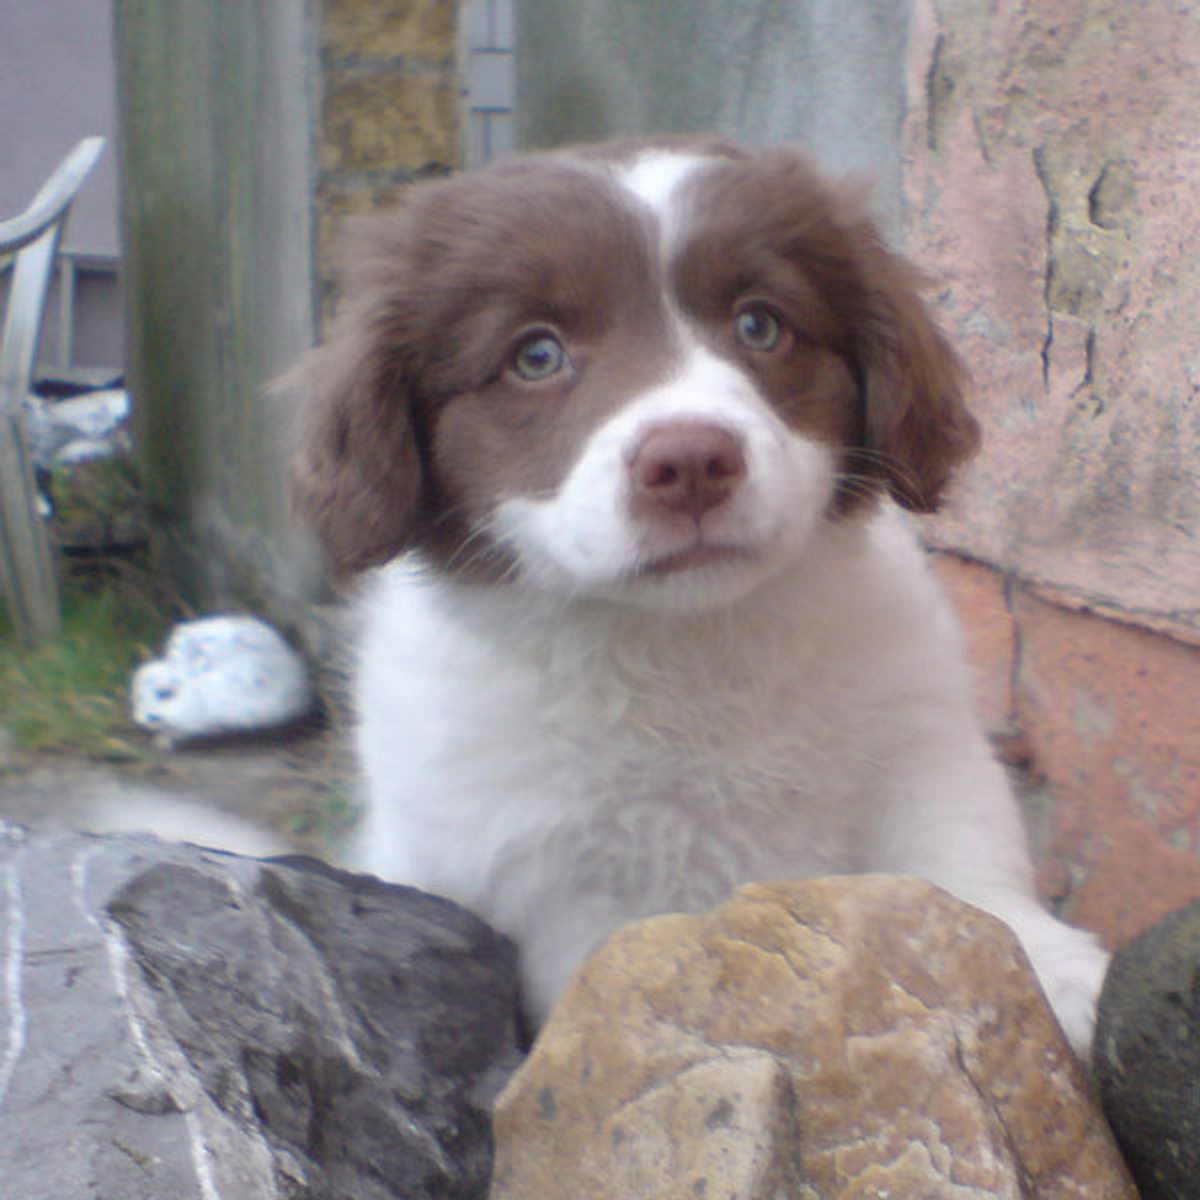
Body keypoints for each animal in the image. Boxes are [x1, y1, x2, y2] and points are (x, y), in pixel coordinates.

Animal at [295, 138, 1108, 1051]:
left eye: (760, 325)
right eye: (535, 356)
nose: (690, 461)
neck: (689, 650)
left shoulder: (919, 738)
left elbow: (961, 860)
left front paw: (1056, 969)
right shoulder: (545, 874)